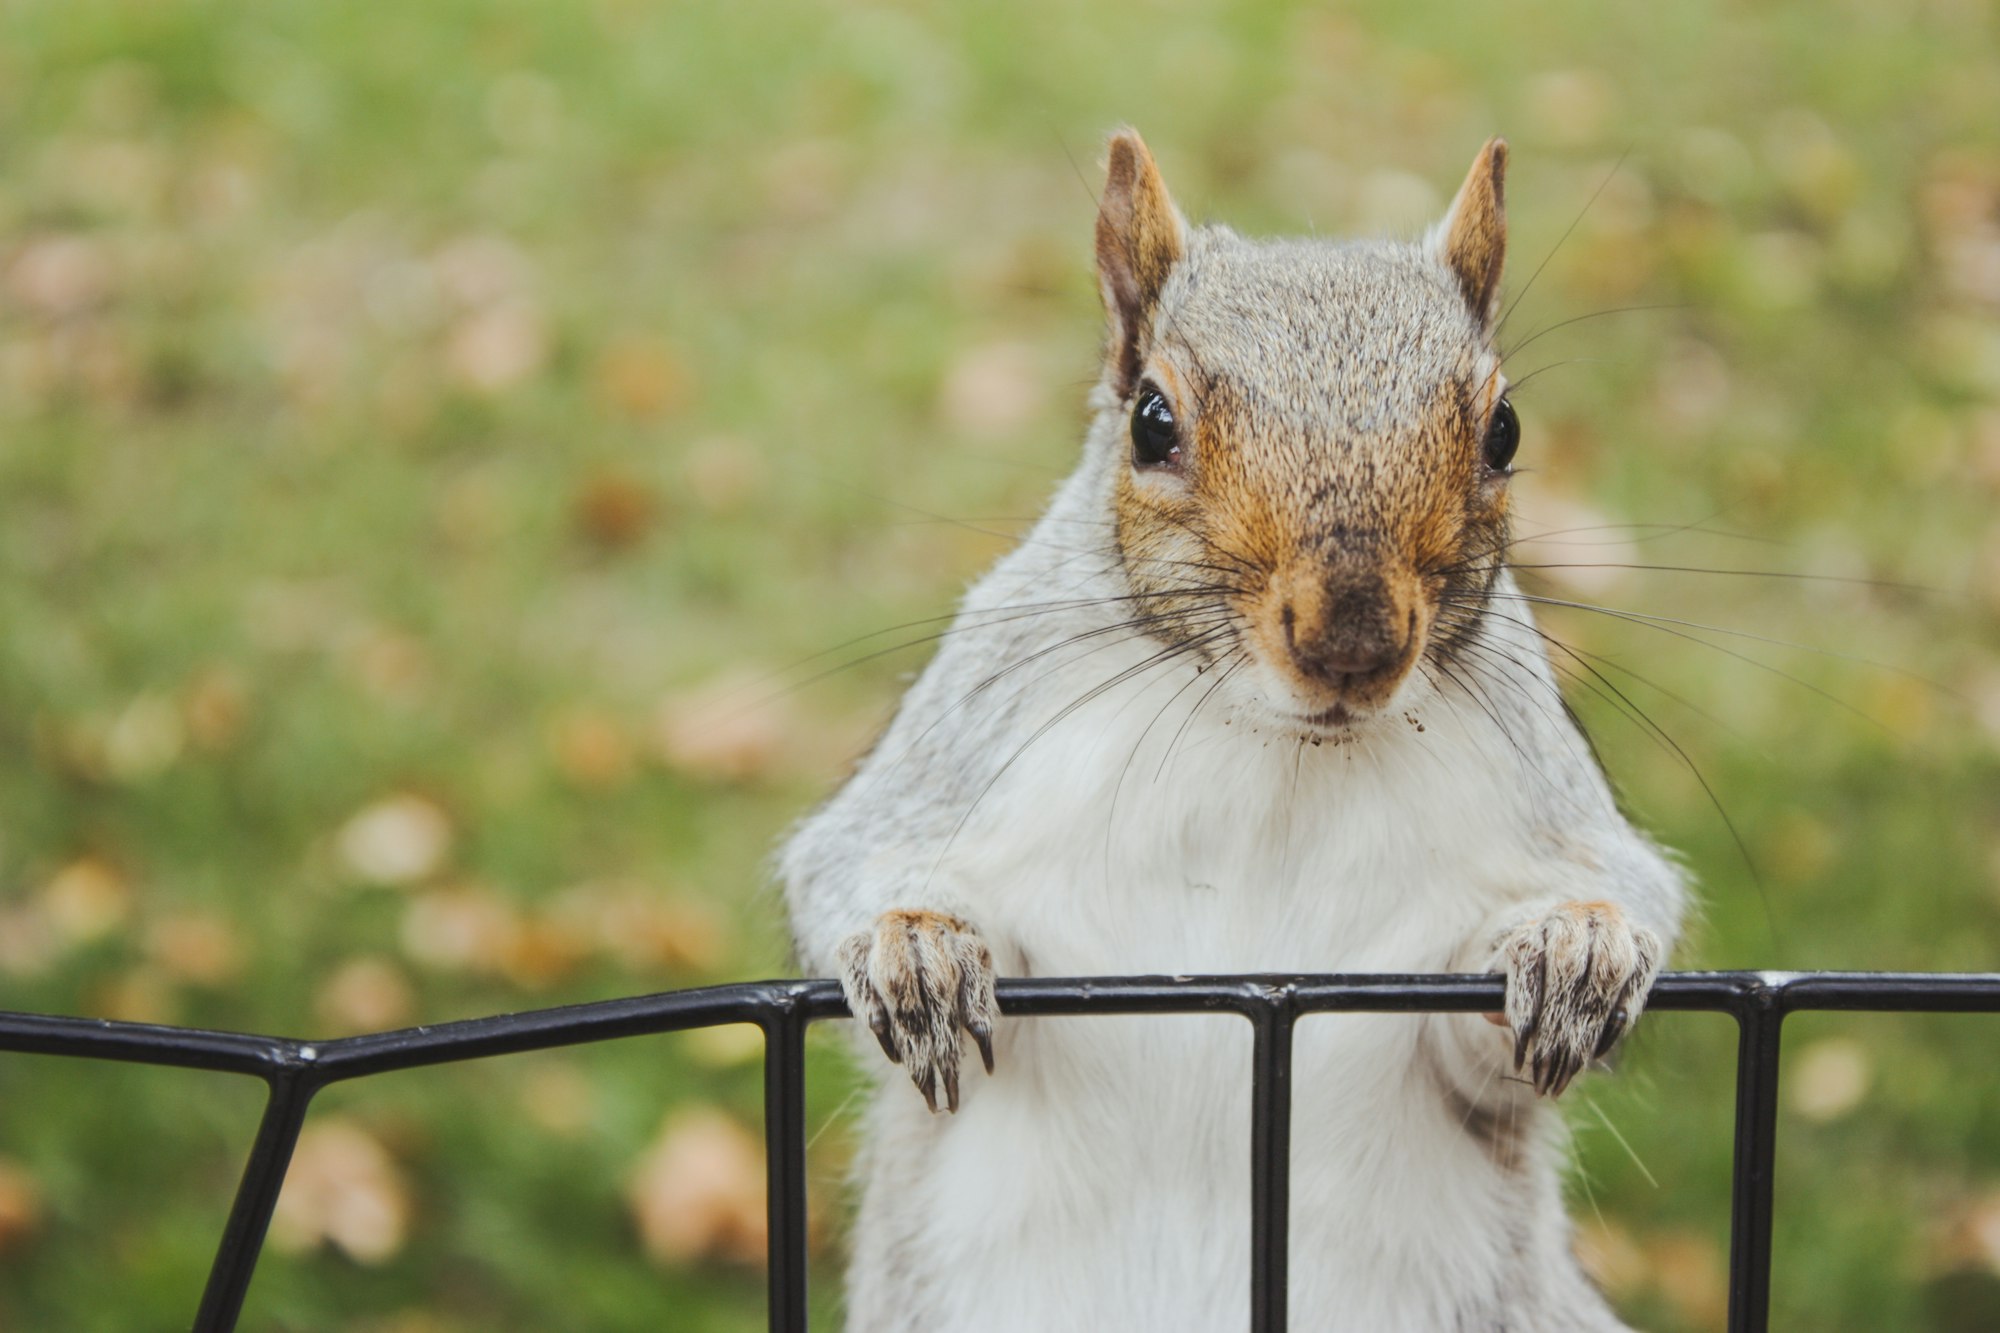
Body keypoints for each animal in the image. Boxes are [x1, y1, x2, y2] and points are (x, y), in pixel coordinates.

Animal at [780, 129, 1686, 1332]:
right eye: (1150, 421)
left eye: (1503, 430)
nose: (1351, 639)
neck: (1275, 757)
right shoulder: (971, 750)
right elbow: (855, 871)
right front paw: (914, 948)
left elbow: (1511, 1006)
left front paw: (1575, 943)